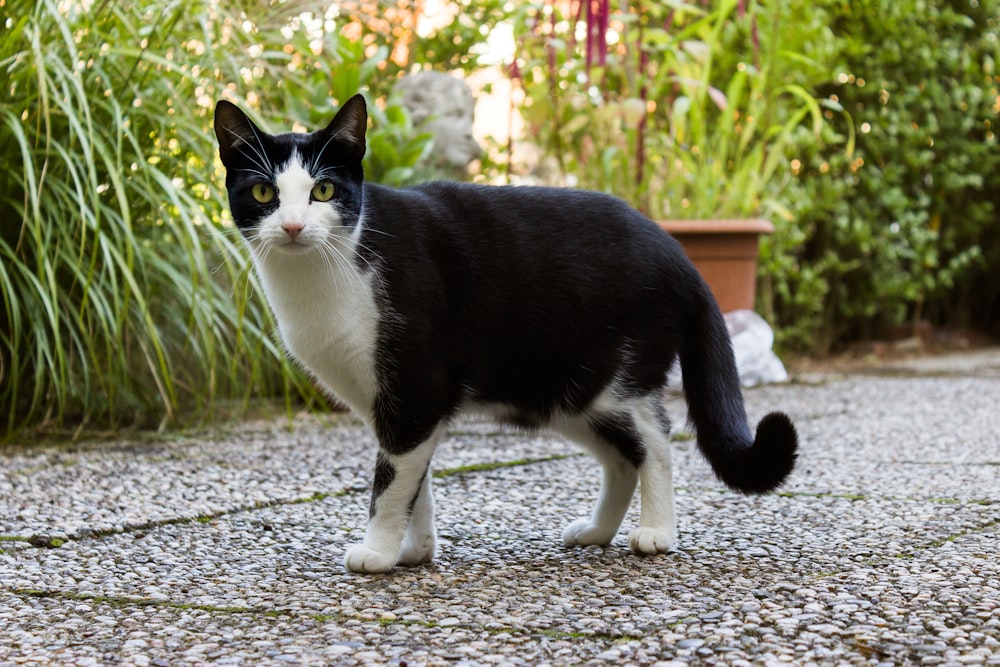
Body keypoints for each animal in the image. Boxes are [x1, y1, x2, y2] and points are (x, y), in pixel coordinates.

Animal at [213, 92, 796, 576]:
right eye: (263, 191)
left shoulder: (416, 387)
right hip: (566, 391)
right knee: (620, 456)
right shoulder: (401, 407)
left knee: (655, 442)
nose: (292, 226)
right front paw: (413, 550)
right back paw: (596, 532)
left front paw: (377, 552)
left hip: (617, 377)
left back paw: (656, 532)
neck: (323, 277)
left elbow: (390, 482)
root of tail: (678, 252)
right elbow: (413, 481)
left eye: (323, 190)